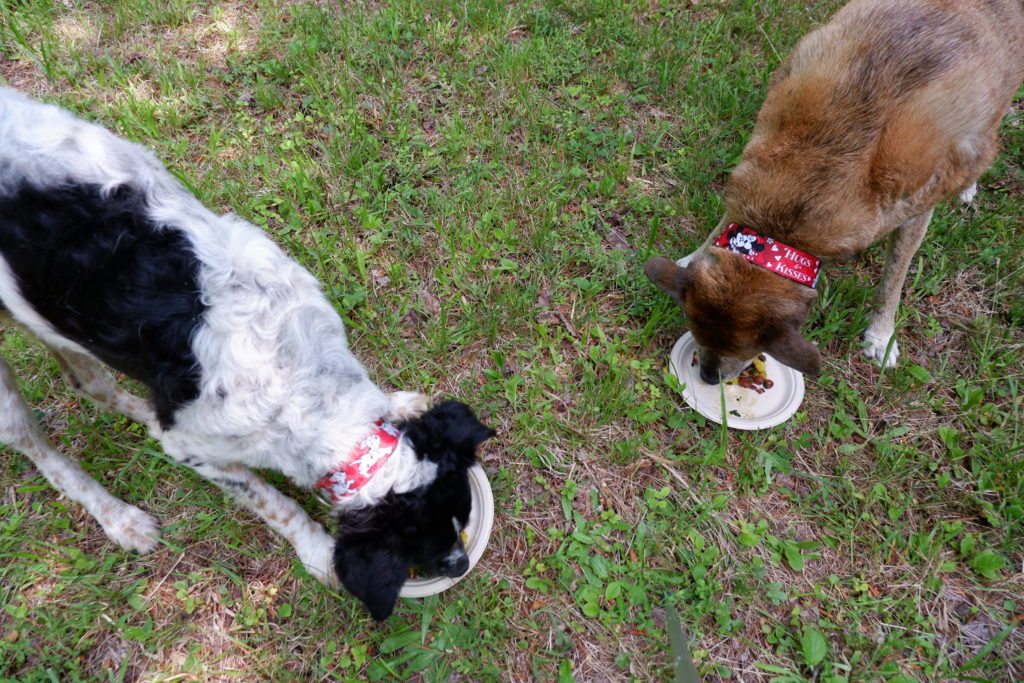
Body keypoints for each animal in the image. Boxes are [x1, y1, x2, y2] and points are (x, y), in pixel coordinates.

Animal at [0, 88, 495, 622]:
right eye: (422, 549)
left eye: (461, 514)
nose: (461, 564)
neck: (293, 376)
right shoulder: (203, 448)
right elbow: (275, 502)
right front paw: (316, 551)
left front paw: (399, 402)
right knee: (36, 445)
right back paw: (119, 518)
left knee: (91, 385)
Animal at [647, 0, 1024, 385]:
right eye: (694, 326)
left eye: (753, 348)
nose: (708, 378)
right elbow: (721, 226)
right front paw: (694, 256)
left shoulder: (914, 210)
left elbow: (893, 280)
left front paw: (881, 335)